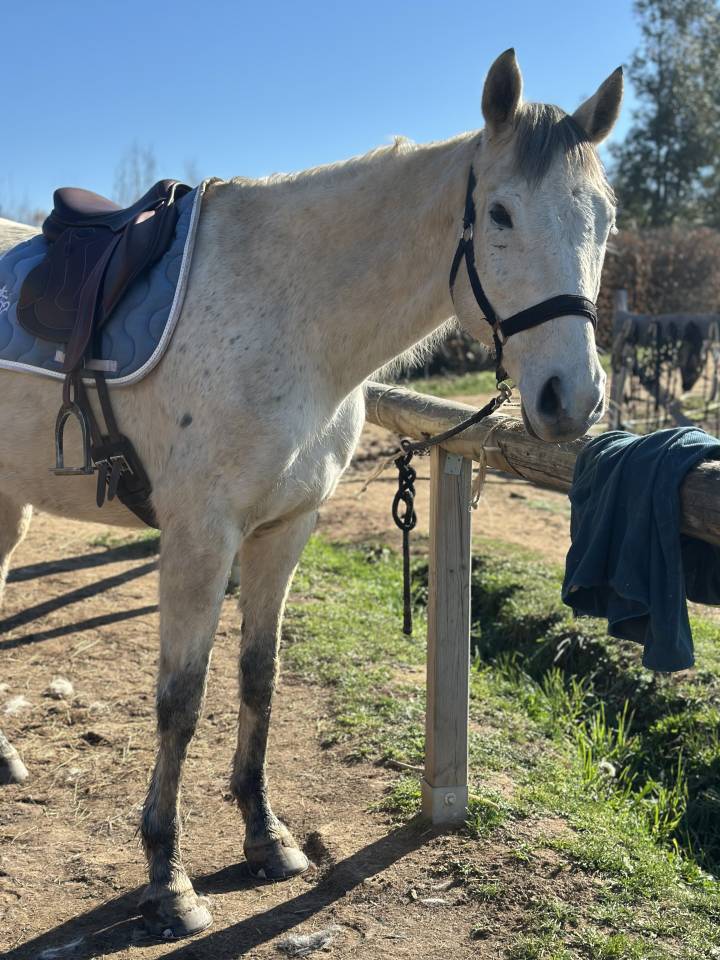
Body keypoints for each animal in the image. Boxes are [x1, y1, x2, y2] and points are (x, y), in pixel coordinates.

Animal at [0, 49, 622, 937]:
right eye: (500, 213)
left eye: (605, 220)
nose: (572, 399)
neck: (287, 317)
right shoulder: (200, 540)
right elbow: (180, 701)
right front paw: (168, 879)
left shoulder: (285, 528)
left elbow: (260, 676)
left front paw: (266, 837)